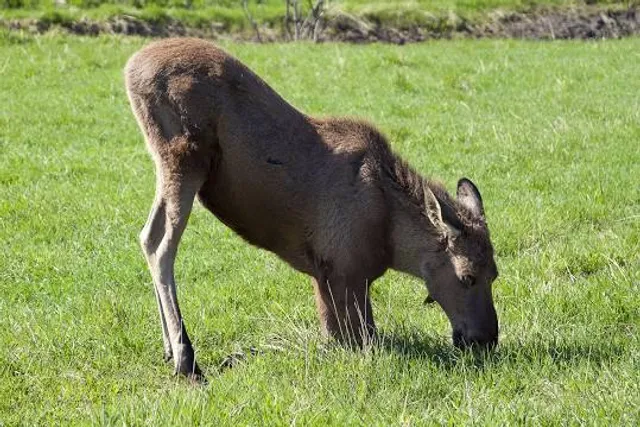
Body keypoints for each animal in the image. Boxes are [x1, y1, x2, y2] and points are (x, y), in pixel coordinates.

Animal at [124, 38, 499, 381]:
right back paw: (185, 358)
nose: (486, 340)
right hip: (184, 158)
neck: (392, 240)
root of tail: (130, 68)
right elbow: (358, 338)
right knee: (160, 244)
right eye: (467, 276)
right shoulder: (341, 272)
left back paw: (168, 349)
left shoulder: (333, 276)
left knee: (146, 236)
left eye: (494, 274)